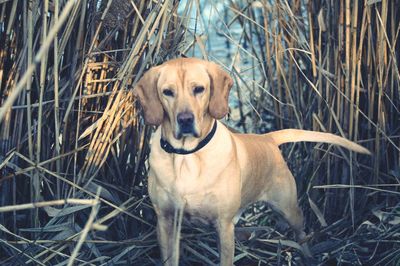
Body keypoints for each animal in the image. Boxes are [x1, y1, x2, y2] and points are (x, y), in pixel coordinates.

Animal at [133, 57, 370, 264]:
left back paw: (307, 255)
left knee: (300, 232)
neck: (186, 156)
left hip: (289, 207)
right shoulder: (165, 222)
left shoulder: (224, 225)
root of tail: (268, 138)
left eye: (199, 89)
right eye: (168, 92)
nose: (185, 120)